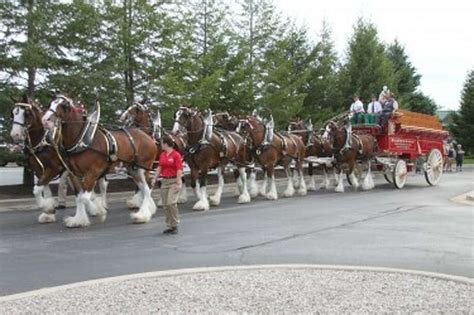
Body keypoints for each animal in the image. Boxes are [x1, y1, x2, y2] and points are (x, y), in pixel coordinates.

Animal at [42, 94, 157, 227]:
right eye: (51, 103)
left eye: (63, 105)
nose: (45, 120)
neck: (82, 139)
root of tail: (147, 136)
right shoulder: (74, 174)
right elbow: (79, 197)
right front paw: (79, 219)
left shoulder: (92, 173)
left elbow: (84, 198)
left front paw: (98, 211)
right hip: (133, 169)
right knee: (143, 187)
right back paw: (149, 209)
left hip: (143, 167)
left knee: (148, 187)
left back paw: (142, 215)